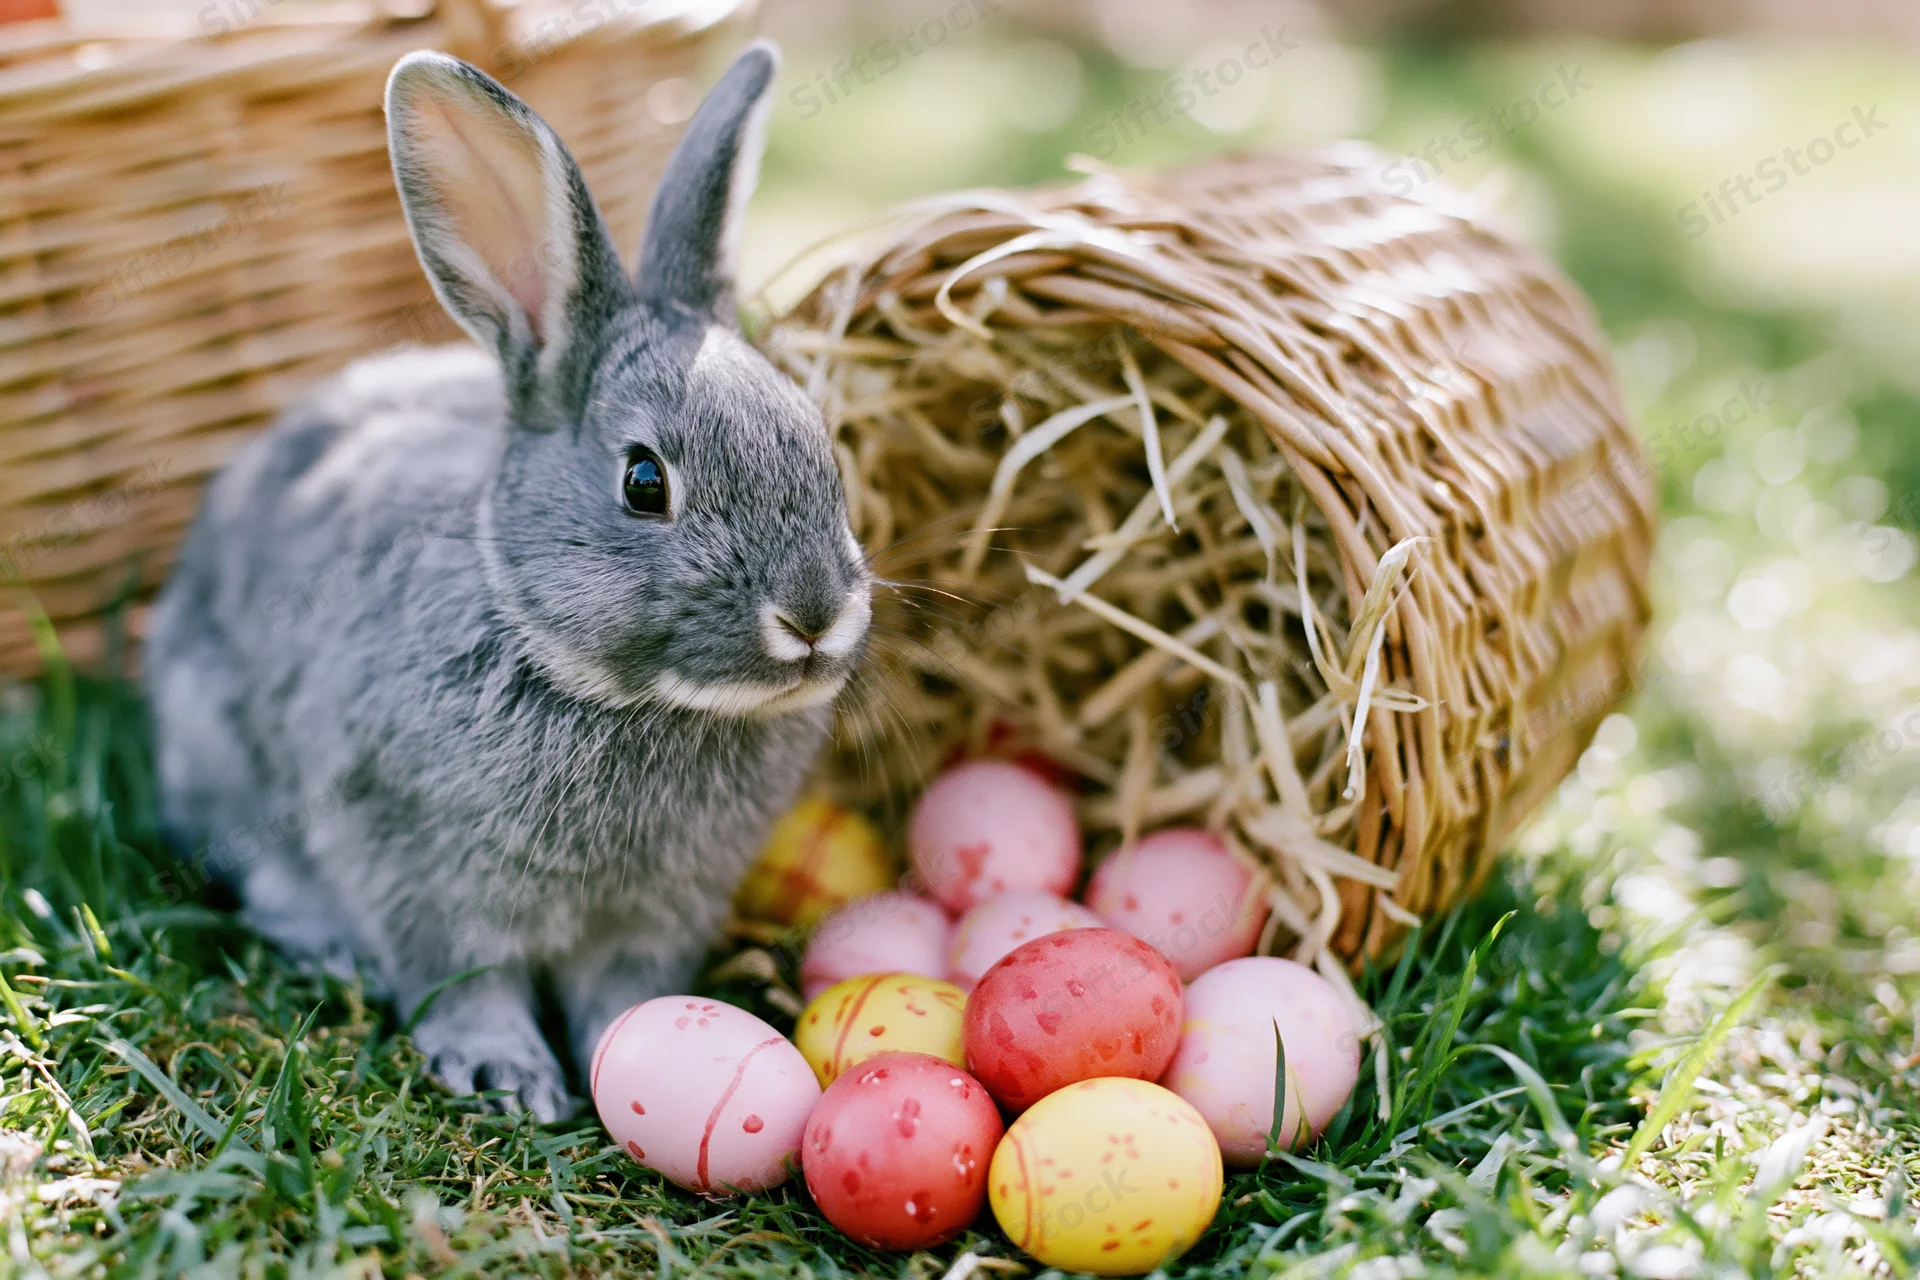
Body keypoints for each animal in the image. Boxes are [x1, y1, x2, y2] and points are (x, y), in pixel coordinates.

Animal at [144, 41, 871, 1121]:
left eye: (821, 446)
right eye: (644, 481)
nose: (816, 613)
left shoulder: (658, 913)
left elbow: (626, 992)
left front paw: (628, 1052)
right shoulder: (418, 866)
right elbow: (463, 977)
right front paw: (506, 1074)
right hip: (214, 749)